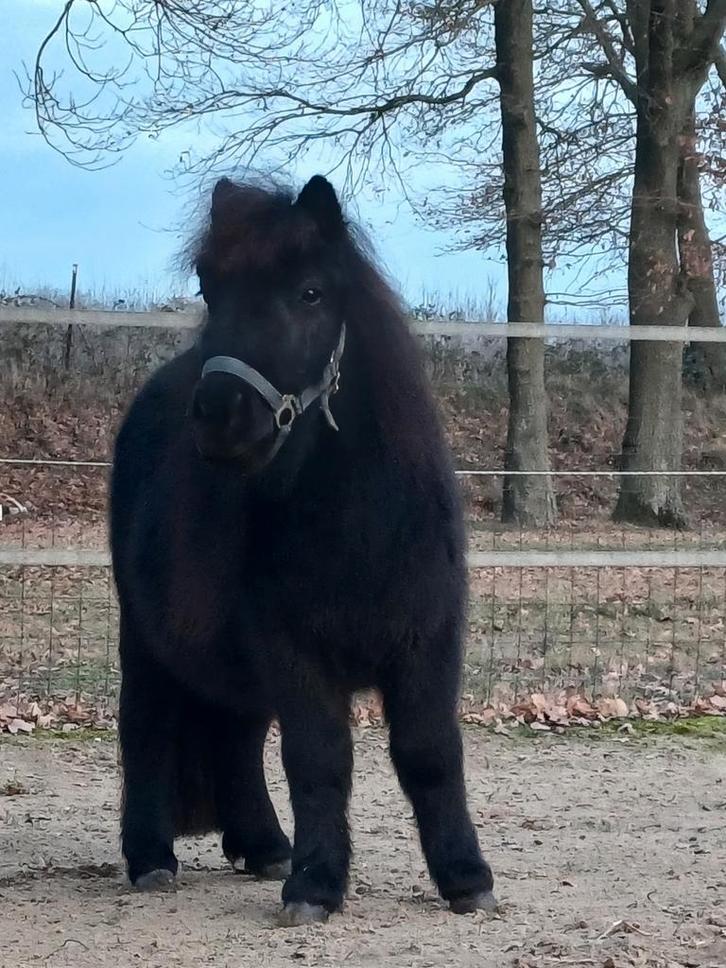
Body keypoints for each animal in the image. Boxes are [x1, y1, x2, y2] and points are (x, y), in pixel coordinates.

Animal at [110, 175, 496, 926]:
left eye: (311, 292)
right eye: (209, 289)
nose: (220, 414)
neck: (359, 528)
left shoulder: (430, 642)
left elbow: (432, 752)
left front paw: (465, 877)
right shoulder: (295, 652)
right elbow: (318, 760)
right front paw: (316, 885)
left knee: (235, 734)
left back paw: (263, 846)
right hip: (145, 636)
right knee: (145, 726)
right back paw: (150, 859)